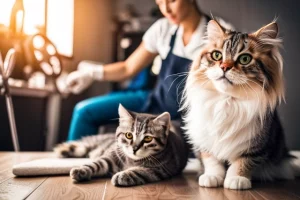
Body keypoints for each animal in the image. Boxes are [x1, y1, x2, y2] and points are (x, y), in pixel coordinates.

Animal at [54, 104, 188, 187]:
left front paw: (123, 175)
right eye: (129, 135)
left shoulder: (161, 169)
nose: (134, 148)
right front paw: (81, 169)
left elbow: (140, 171)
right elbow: (96, 164)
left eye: (148, 138)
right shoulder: (111, 157)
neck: (131, 160)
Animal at [180, 19, 300, 190]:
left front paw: (236, 180)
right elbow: (211, 160)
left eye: (245, 59)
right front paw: (211, 177)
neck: (227, 100)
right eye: (217, 55)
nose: (224, 67)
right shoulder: (205, 139)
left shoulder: (255, 145)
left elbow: (243, 162)